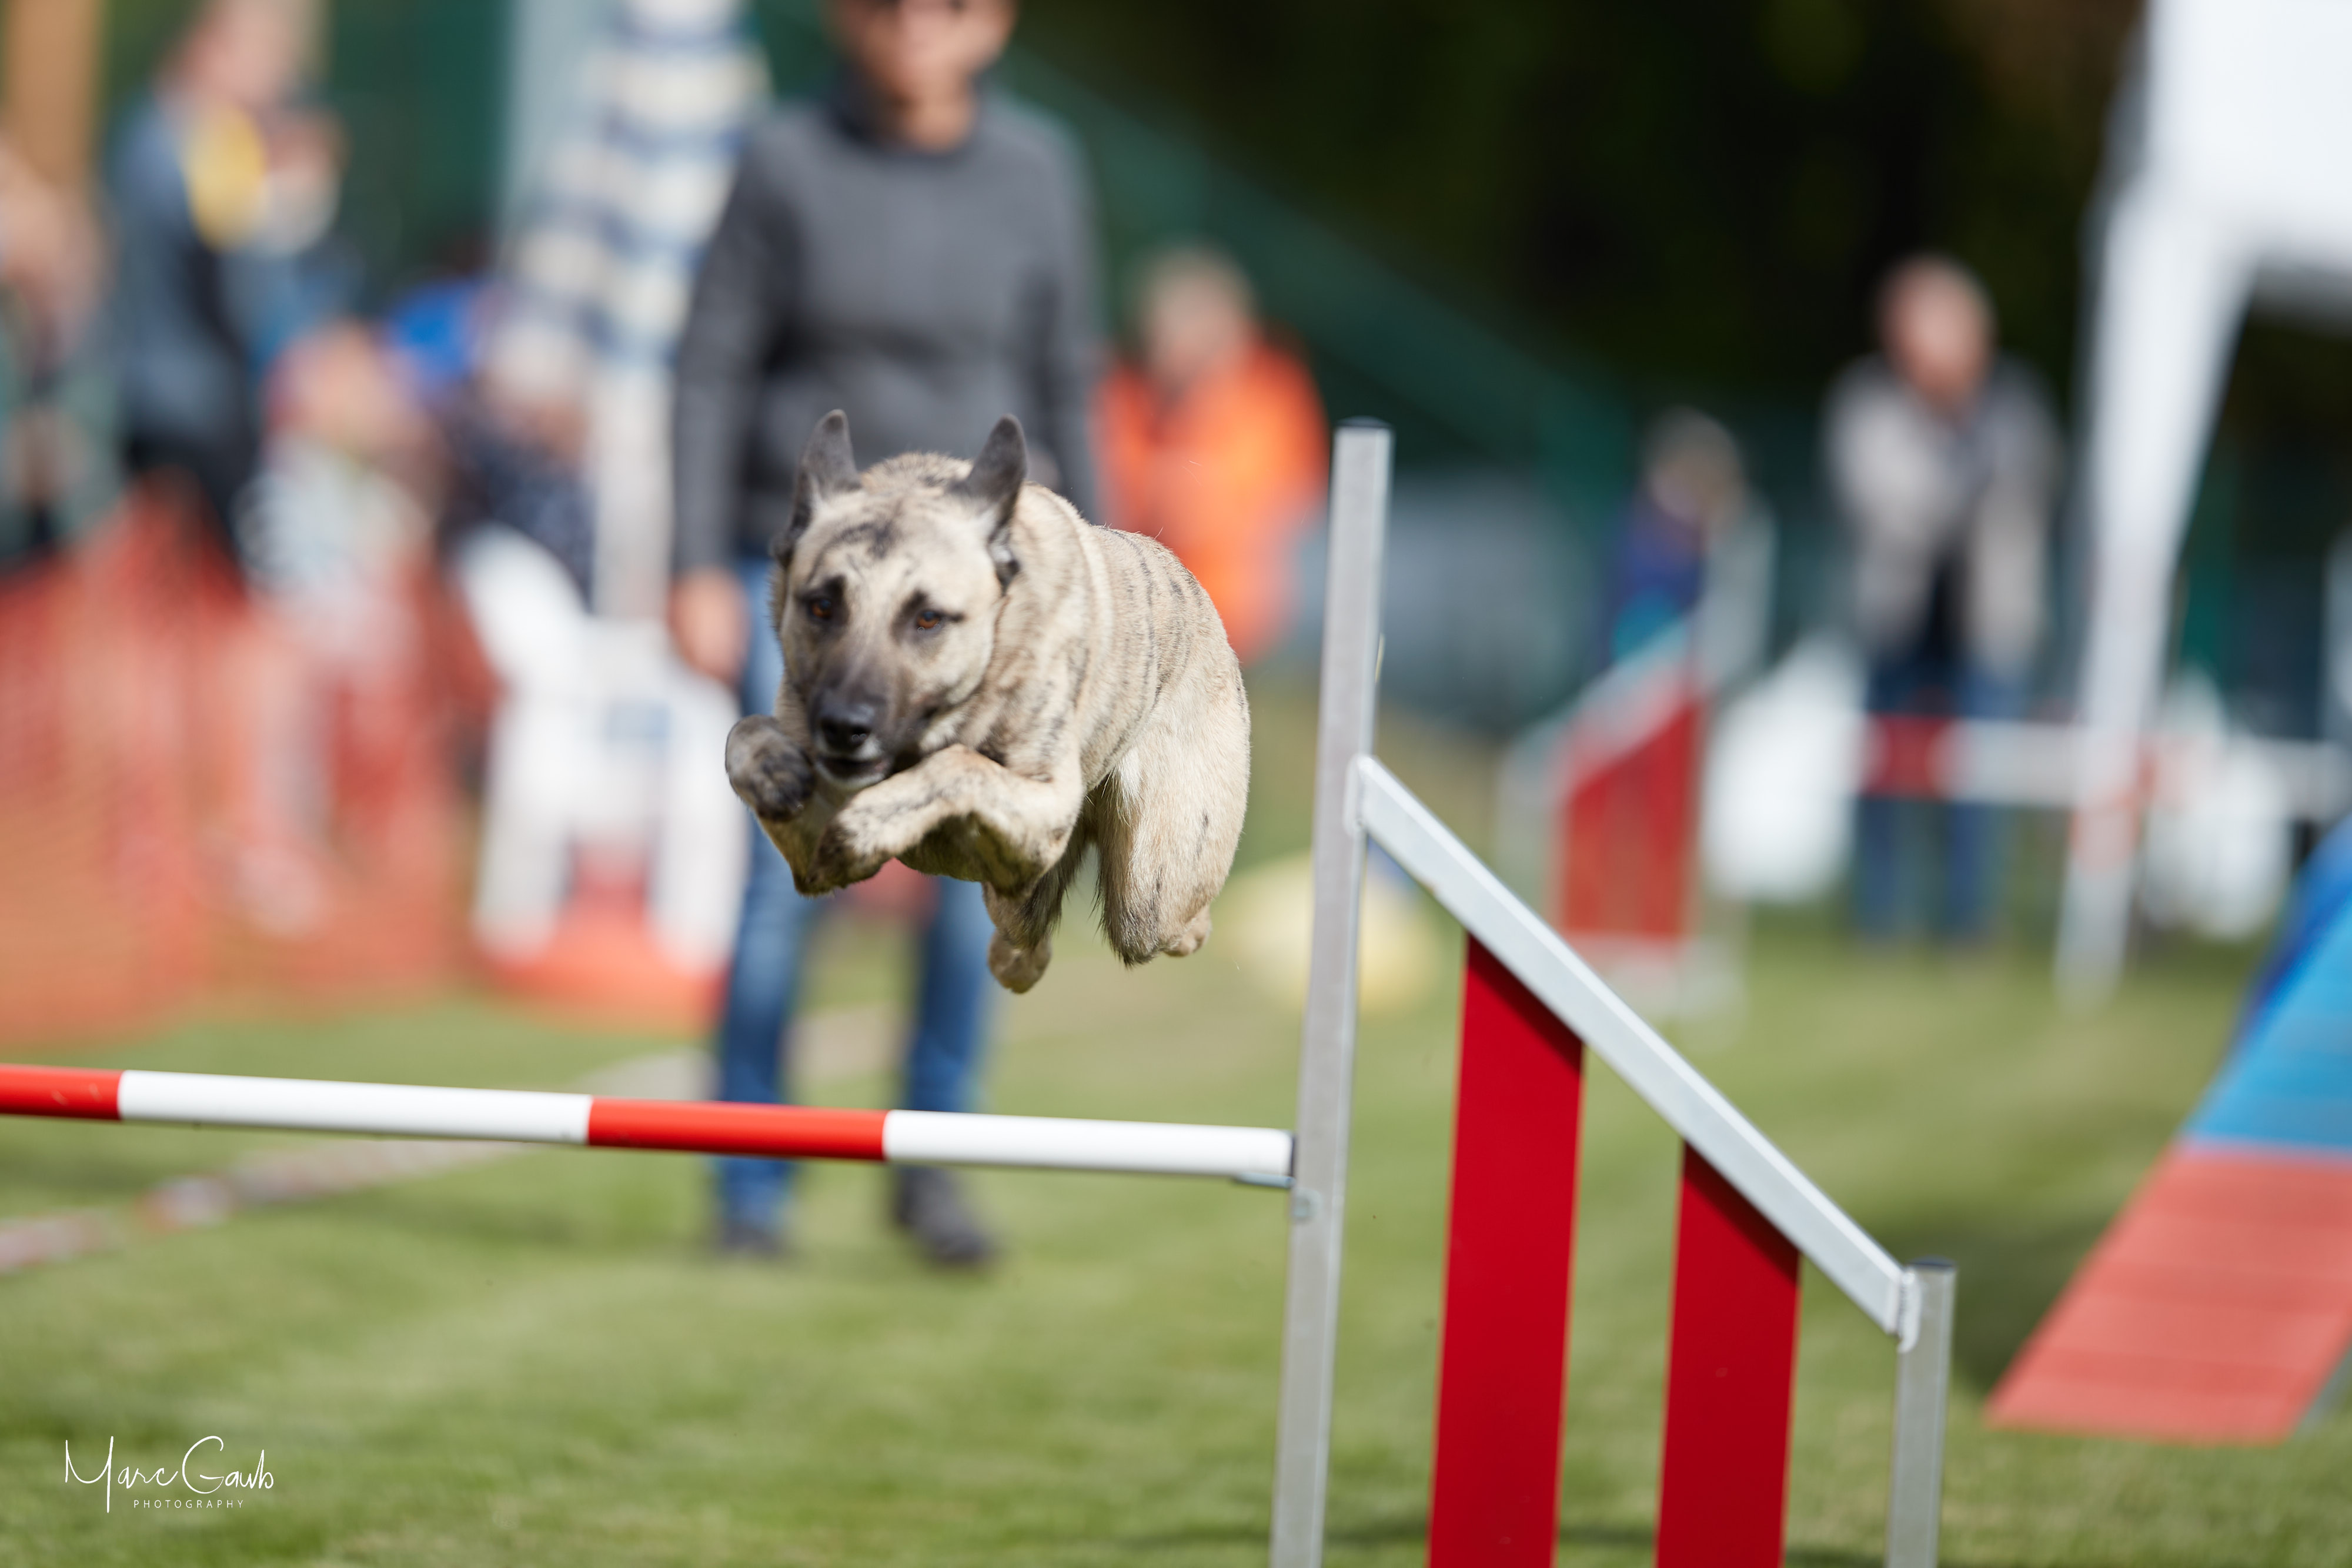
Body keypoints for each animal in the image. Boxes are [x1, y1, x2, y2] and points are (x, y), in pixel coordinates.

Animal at [725, 410, 1251, 994]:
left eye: (928, 619)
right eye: (822, 606)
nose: (844, 727)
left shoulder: (1044, 809)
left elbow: (957, 766)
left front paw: (872, 821)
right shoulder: (809, 854)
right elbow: (744, 731)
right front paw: (773, 771)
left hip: (1154, 890)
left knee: (1176, 923)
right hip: (1026, 902)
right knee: (1024, 940)